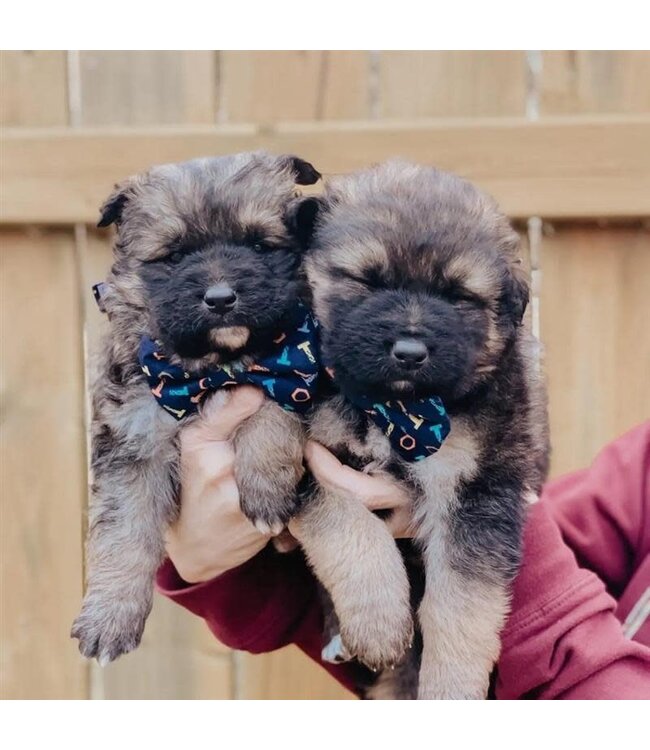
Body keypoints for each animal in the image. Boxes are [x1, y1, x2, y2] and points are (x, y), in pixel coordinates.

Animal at [69, 151, 320, 664]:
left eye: (259, 244)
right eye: (175, 256)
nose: (221, 298)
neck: (213, 368)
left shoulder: (296, 372)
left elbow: (270, 407)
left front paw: (265, 489)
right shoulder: (131, 440)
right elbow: (123, 531)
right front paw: (109, 616)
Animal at [292, 162, 548, 704]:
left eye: (457, 296)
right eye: (368, 281)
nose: (410, 352)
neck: (394, 409)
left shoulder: (479, 488)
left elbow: (461, 606)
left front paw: (453, 689)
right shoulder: (301, 456)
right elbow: (348, 529)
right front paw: (378, 625)